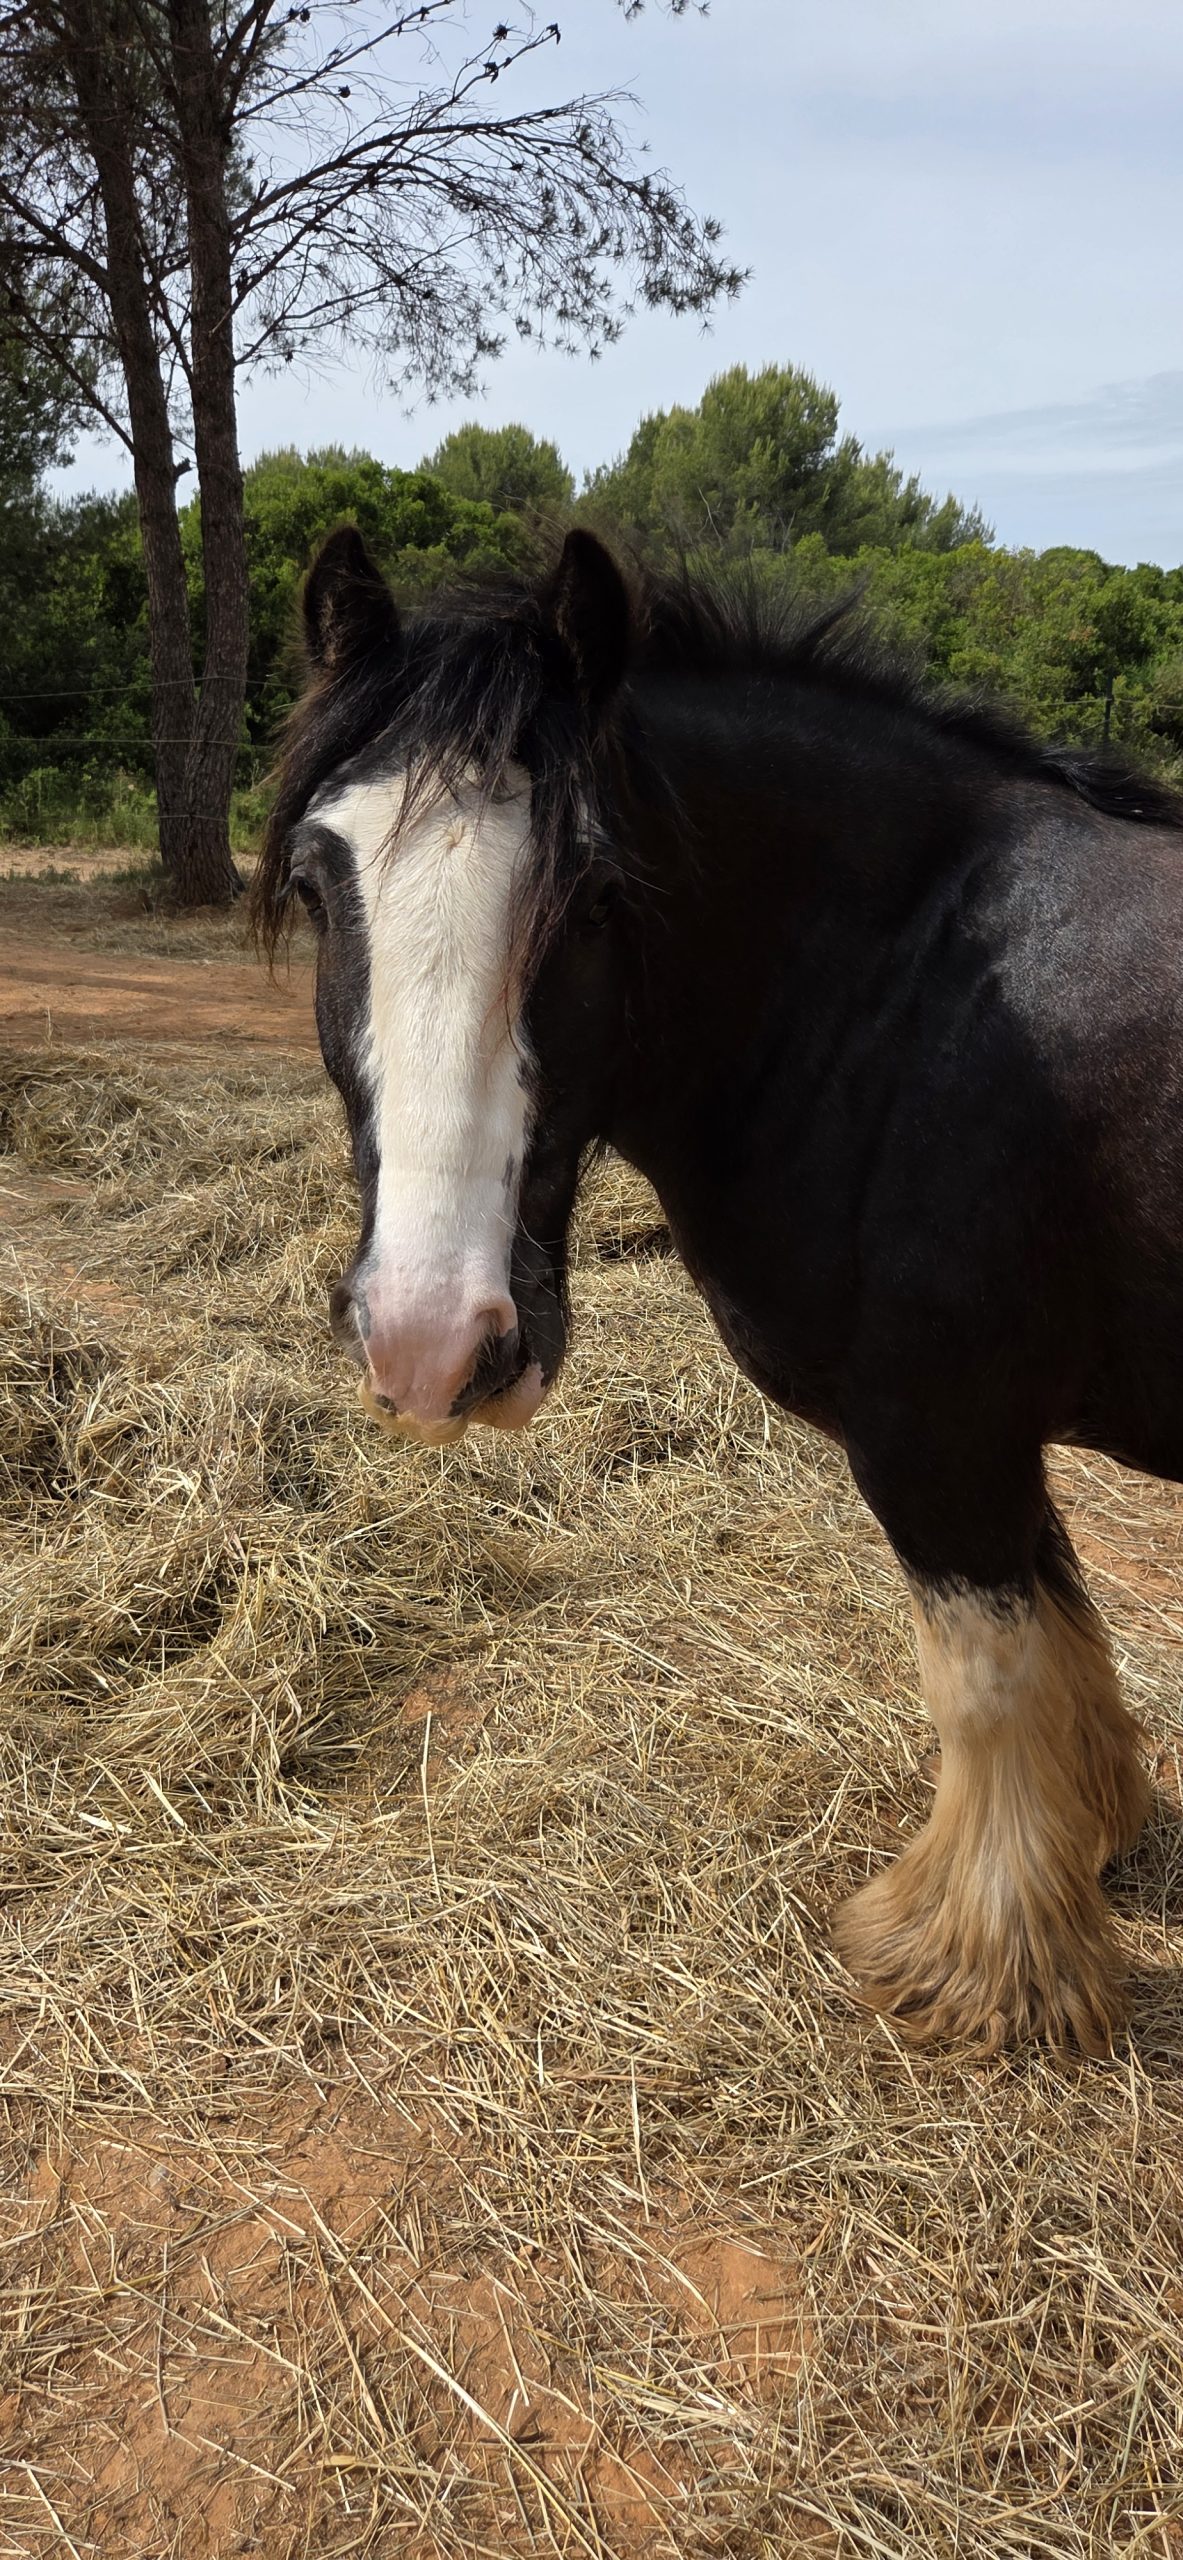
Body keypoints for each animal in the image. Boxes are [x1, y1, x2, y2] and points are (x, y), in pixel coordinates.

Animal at [255, 520, 1183, 2056]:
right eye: (319, 887)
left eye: (592, 895)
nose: (429, 1341)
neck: (906, 995)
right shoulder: (991, 1441)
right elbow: (1057, 1636)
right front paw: (1090, 1837)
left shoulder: (939, 1436)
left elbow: (986, 1676)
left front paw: (973, 1964)